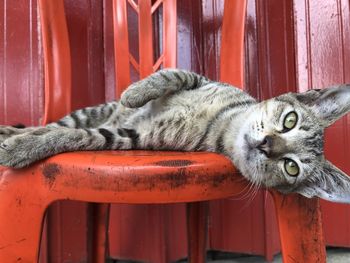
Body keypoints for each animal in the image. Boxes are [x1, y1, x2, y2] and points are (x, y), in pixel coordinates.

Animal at [0, 69, 350, 203]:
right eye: (290, 120)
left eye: (292, 167)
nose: (266, 144)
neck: (221, 123)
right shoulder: (199, 77)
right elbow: (170, 75)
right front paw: (135, 93)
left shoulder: (132, 137)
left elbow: (80, 138)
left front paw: (21, 148)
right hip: (89, 110)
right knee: (55, 122)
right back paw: (10, 129)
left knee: (60, 127)